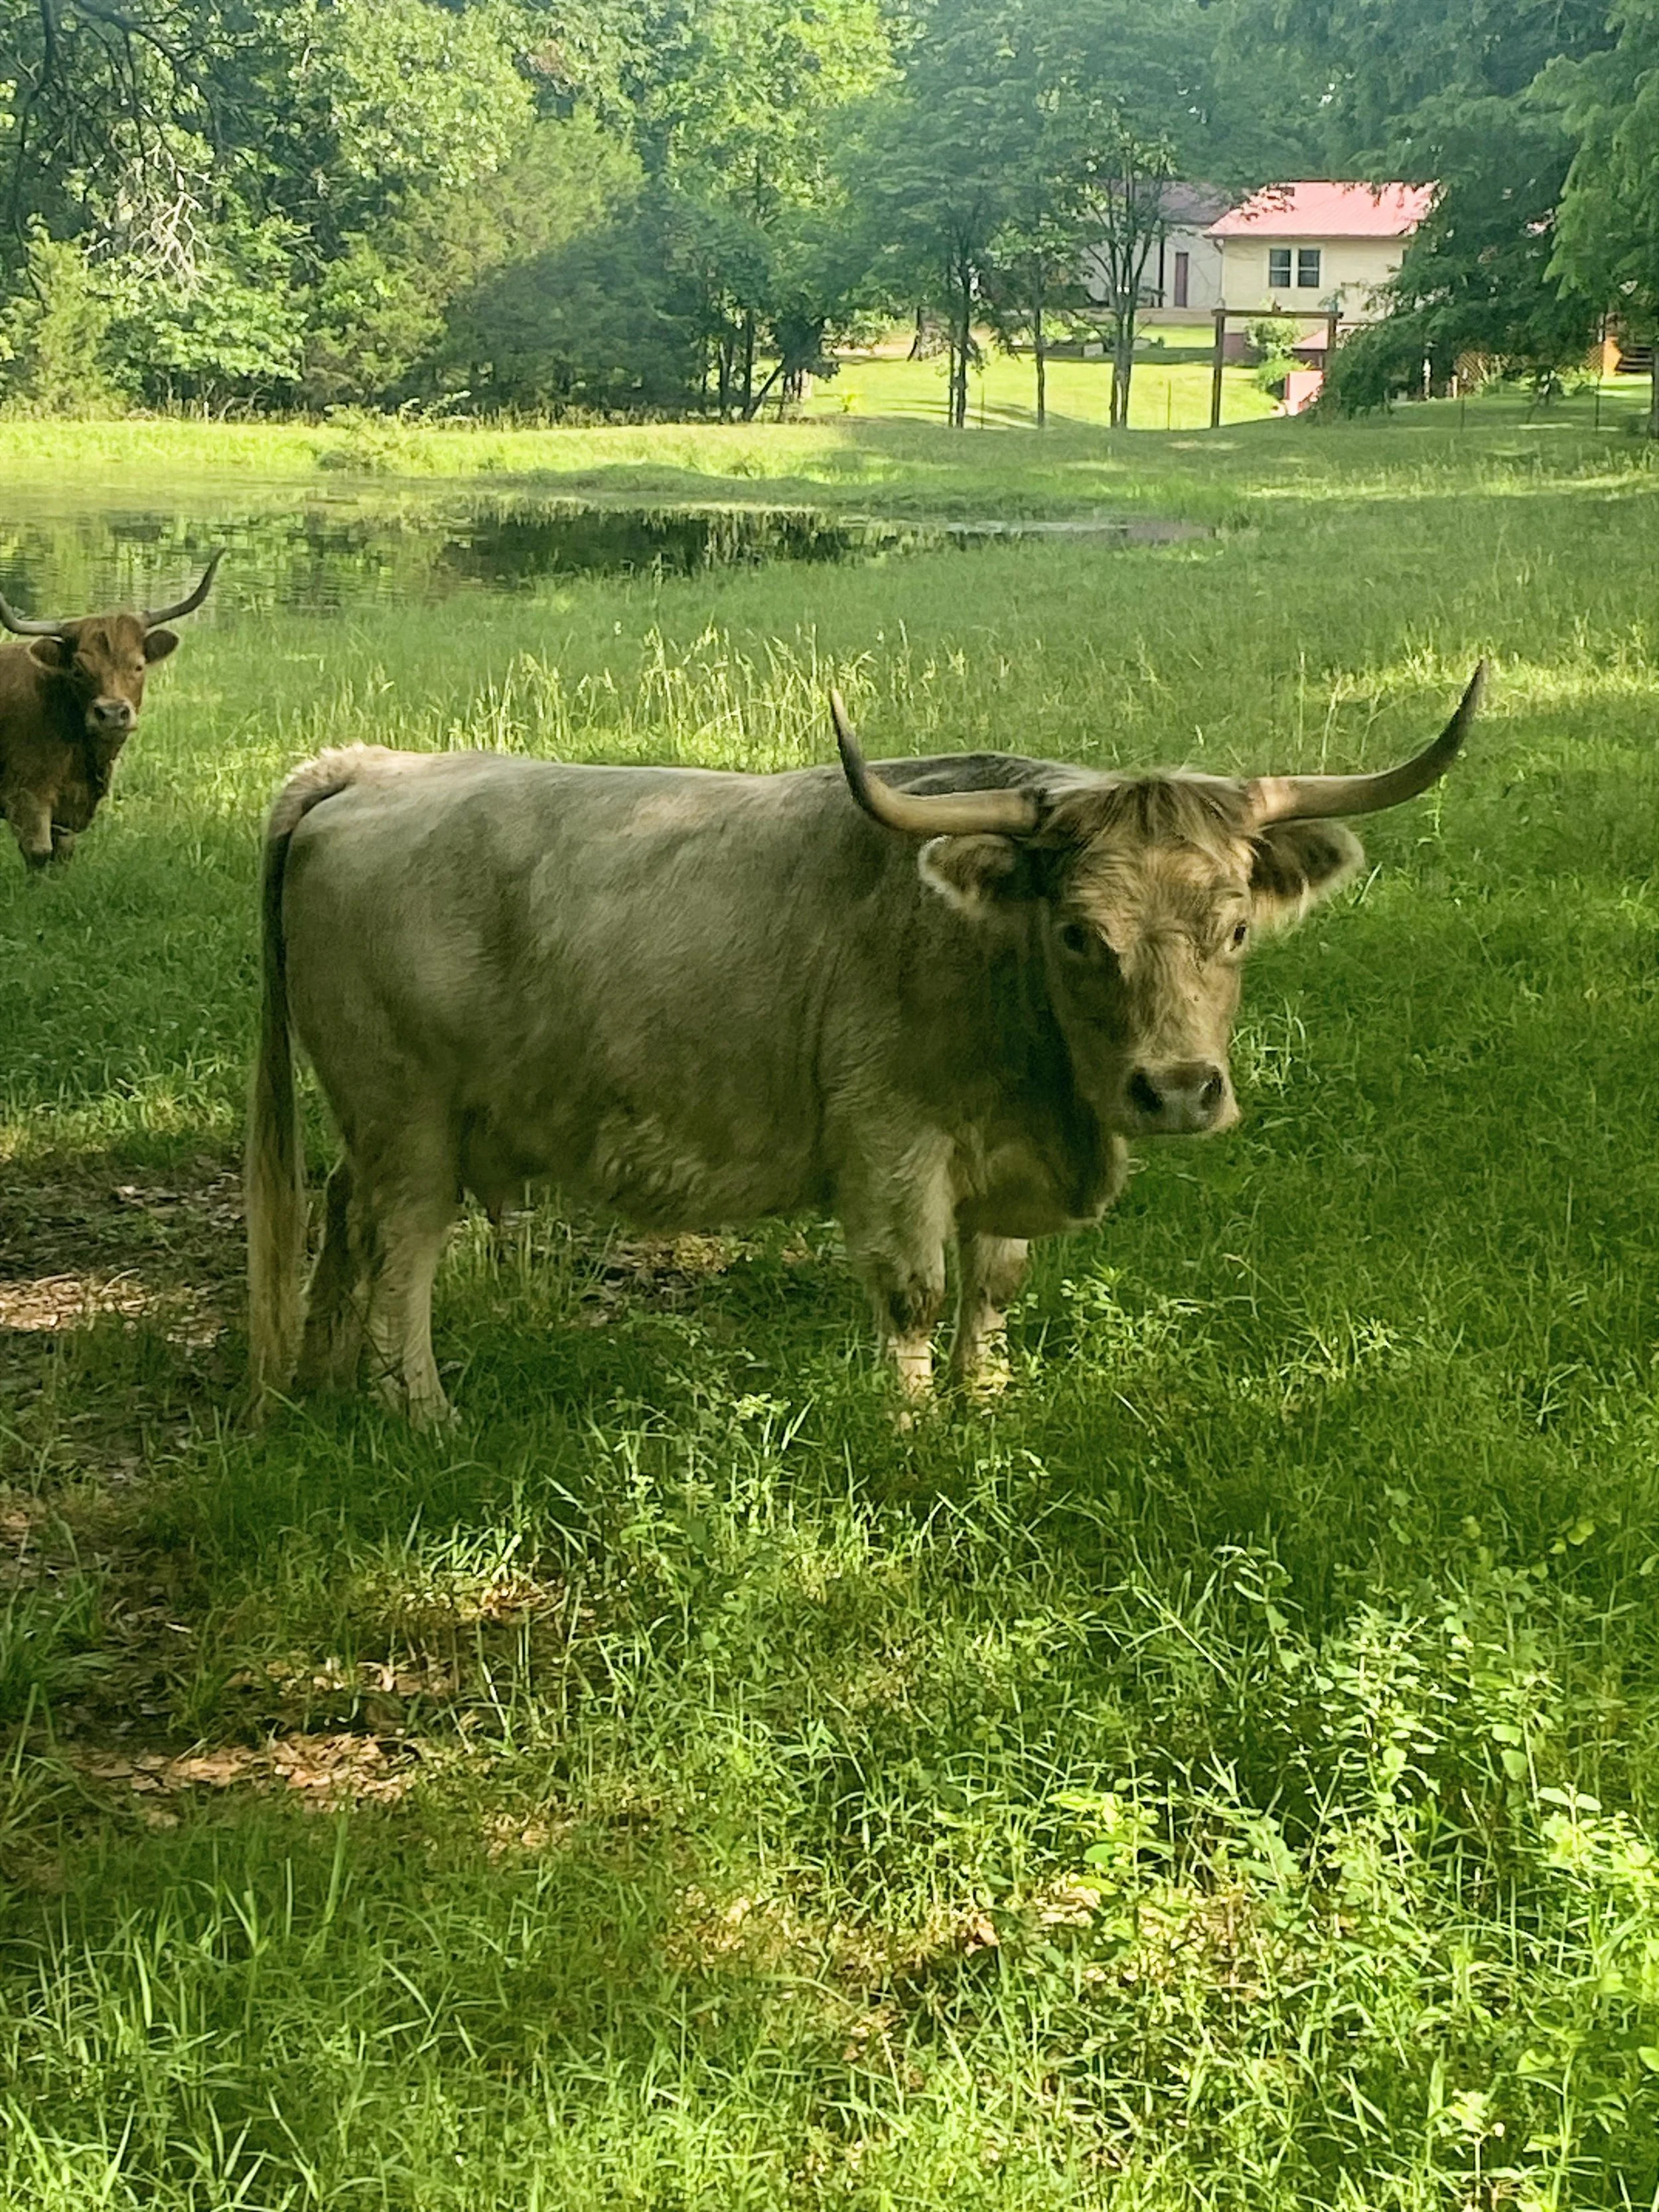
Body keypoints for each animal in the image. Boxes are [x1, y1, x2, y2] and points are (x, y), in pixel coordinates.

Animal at [0, 552, 223, 870]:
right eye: (77, 670)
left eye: (138, 666)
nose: (113, 713)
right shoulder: (26, 795)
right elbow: (40, 853)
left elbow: (62, 854)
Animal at [246, 666, 1484, 1422]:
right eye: (1079, 933)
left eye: (1234, 928)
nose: (1178, 1089)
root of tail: (372, 768)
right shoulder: (892, 1143)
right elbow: (916, 1294)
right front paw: (911, 1426)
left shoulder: (1000, 1164)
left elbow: (995, 1286)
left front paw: (987, 1407)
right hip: (410, 1114)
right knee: (401, 1246)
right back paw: (420, 1409)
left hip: (382, 1120)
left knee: (346, 1222)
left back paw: (323, 1382)